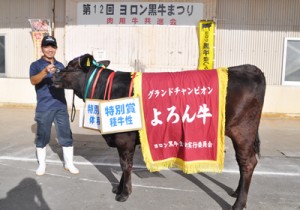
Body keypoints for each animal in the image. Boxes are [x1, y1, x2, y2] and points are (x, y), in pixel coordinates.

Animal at [52, 54, 266, 210]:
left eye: (70, 66)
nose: (53, 74)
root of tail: (248, 68)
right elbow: (124, 164)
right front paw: (119, 189)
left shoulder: (124, 138)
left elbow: (125, 165)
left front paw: (124, 193)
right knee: (243, 162)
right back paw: (236, 193)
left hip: (242, 130)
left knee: (248, 162)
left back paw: (238, 204)